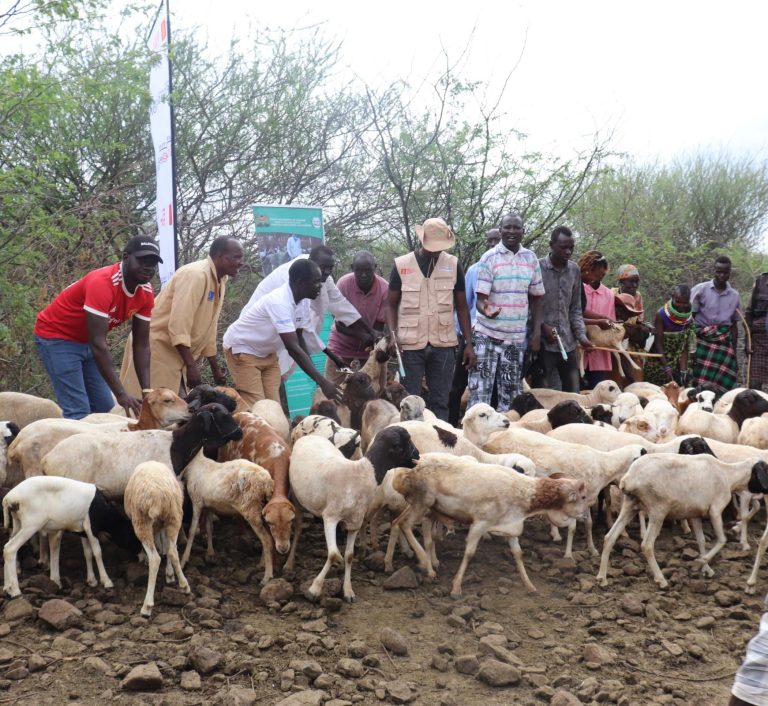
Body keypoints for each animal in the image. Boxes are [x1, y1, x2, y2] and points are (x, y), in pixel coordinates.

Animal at [3, 476, 140, 597]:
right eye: (133, 535)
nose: (140, 552)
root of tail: (9, 498)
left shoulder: (83, 530)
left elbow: (88, 553)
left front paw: (92, 580)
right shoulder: (91, 527)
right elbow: (97, 552)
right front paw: (107, 581)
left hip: (17, 524)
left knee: (5, 547)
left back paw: (6, 588)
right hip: (31, 525)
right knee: (10, 548)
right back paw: (15, 590)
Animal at [124, 461, 191, 616]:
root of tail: (156, 496)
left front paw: (144, 557)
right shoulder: (161, 524)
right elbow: (166, 545)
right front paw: (170, 574)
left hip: (141, 520)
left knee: (155, 559)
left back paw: (147, 606)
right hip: (174, 515)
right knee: (173, 551)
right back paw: (184, 585)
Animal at [287, 426, 420, 601]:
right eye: (402, 444)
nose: (418, 455)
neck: (361, 474)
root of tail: (308, 437)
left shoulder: (354, 523)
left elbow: (349, 556)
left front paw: (348, 591)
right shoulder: (330, 517)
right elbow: (333, 554)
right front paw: (314, 589)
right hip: (295, 497)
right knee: (298, 527)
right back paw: (289, 563)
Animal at [391, 453, 589, 596]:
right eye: (583, 496)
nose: (586, 515)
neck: (524, 493)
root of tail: (413, 465)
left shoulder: (510, 526)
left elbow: (518, 554)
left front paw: (530, 586)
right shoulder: (480, 522)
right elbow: (469, 553)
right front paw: (456, 588)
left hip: (419, 504)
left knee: (398, 522)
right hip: (423, 500)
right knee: (406, 524)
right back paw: (426, 565)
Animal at [596, 454, 768, 588]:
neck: (729, 475)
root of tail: (629, 479)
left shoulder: (696, 514)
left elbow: (701, 540)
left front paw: (706, 569)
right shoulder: (715, 510)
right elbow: (722, 540)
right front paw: (701, 561)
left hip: (630, 505)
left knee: (609, 537)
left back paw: (602, 578)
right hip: (658, 509)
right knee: (647, 545)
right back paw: (661, 580)